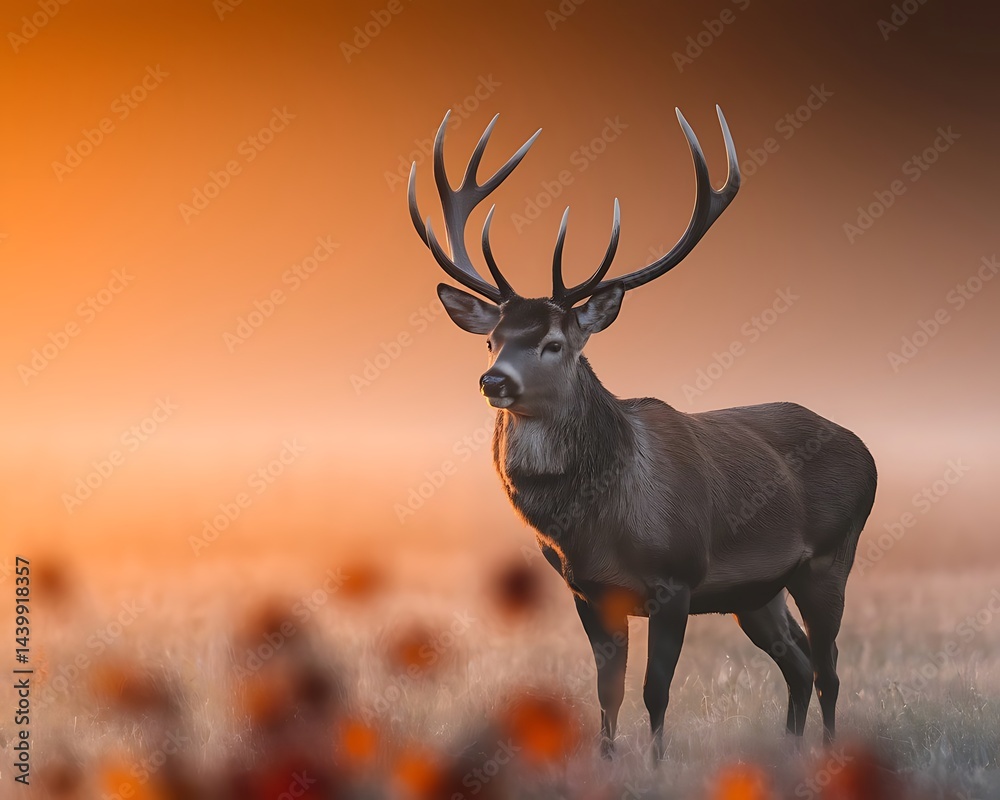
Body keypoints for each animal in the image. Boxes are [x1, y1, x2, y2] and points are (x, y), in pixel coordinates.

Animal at [407, 106, 878, 759]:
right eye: (492, 339)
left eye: (554, 343)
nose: (493, 379)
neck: (599, 524)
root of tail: (865, 448)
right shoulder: (588, 590)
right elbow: (607, 692)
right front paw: (606, 762)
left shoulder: (675, 578)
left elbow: (656, 691)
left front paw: (655, 766)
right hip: (759, 591)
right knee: (801, 663)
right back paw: (788, 749)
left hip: (831, 556)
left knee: (830, 666)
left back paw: (828, 754)